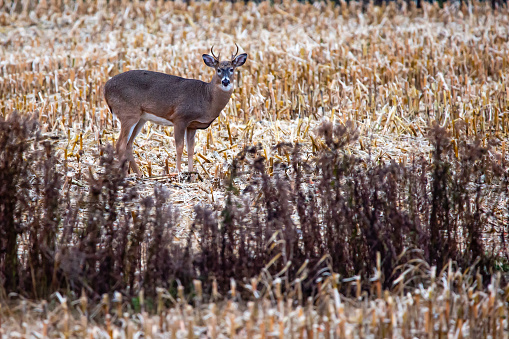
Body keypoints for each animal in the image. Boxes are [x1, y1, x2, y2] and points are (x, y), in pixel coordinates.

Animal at [103, 44, 246, 177]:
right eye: (218, 70)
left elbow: (191, 149)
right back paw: (125, 175)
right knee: (120, 144)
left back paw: (139, 175)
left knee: (128, 145)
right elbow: (179, 147)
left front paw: (191, 173)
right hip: (128, 113)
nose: (225, 81)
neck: (206, 98)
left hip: (141, 118)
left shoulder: (192, 125)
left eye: (232, 69)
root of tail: (105, 88)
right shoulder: (180, 118)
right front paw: (178, 172)